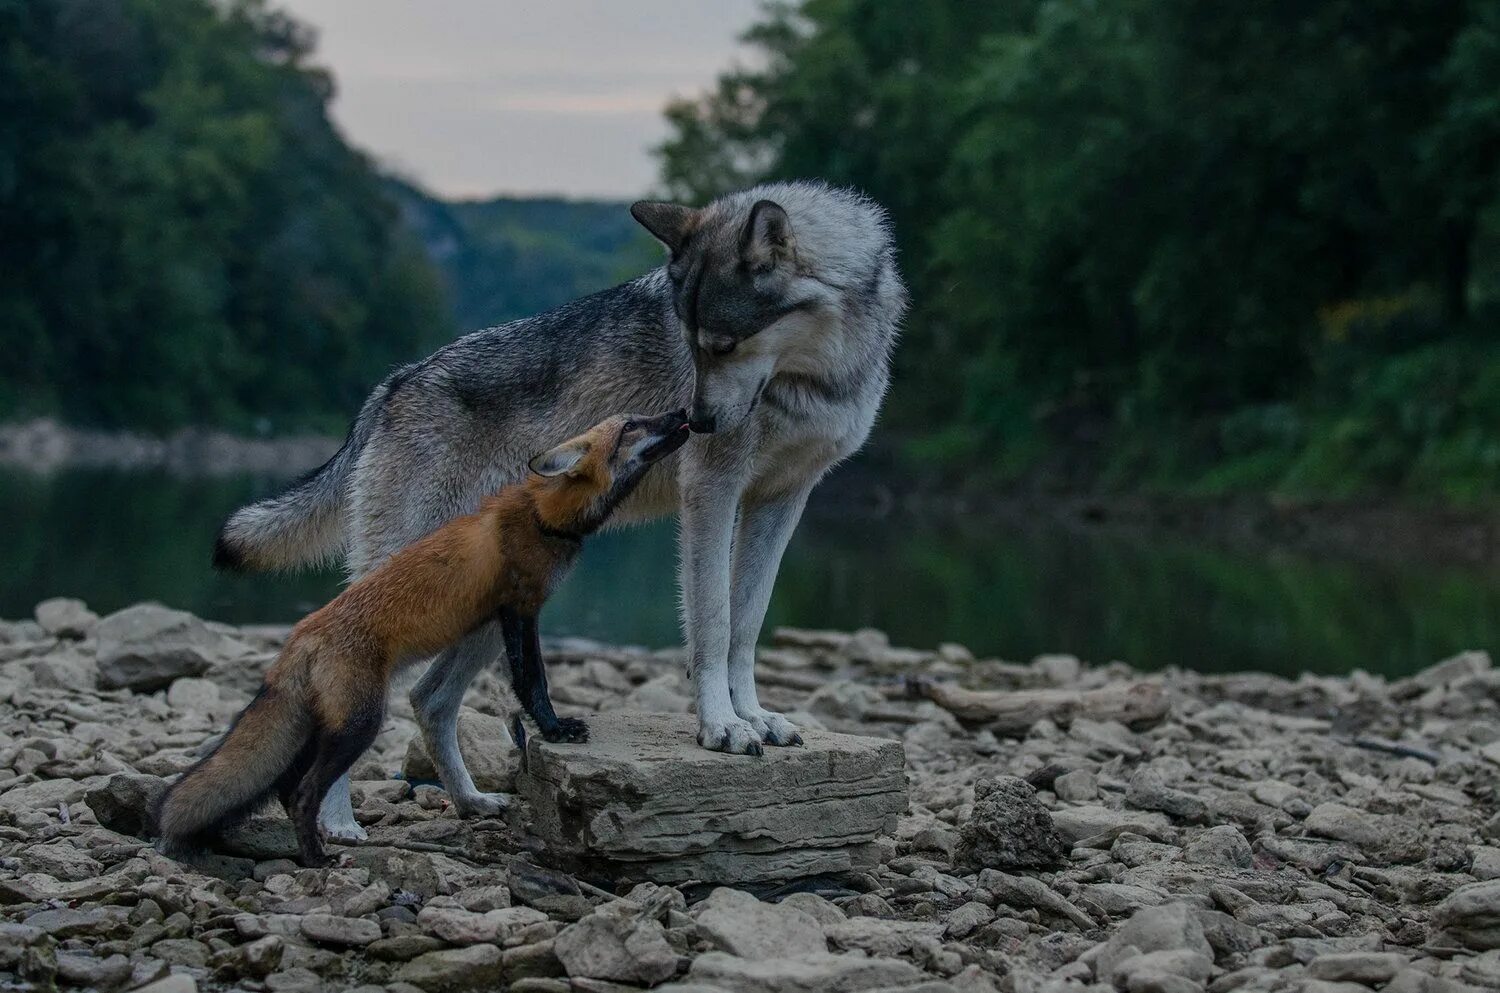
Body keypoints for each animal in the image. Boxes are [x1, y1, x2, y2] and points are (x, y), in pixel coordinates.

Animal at [152, 408, 690, 870]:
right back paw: (318, 858)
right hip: (360, 724)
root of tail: (300, 635)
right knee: (304, 794)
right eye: (632, 425)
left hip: (318, 730)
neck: (543, 515)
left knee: (287, 792)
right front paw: (555, 728)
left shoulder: (508, 614)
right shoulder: (520, 609)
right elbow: (532, 681)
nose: (683, 411)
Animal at [216, 180, 906, 840]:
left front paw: (756, 716)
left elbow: (746, 623)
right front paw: (723, 726)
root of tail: (393, 384)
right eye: (695, 345)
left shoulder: (781, 502)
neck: (818, 374)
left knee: (430, 699)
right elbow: (711, 623)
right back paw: (338, 823)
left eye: (723, 344)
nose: (697, 421)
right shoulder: (712, 493)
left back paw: (470, 802)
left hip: (490, 609)